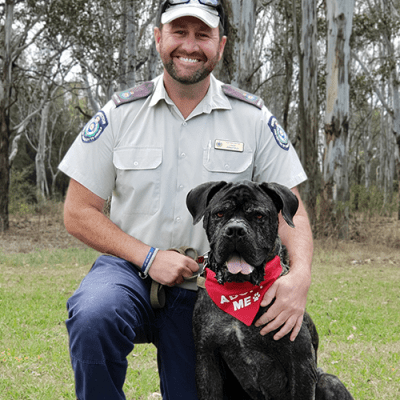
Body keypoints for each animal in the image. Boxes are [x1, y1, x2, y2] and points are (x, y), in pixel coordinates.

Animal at [186, 181, 352, 400]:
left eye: (259, 216)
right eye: (220, 214)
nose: (235, 230)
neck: (239, 294)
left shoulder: (300, 362)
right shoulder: (206, 359)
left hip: (328, 381)